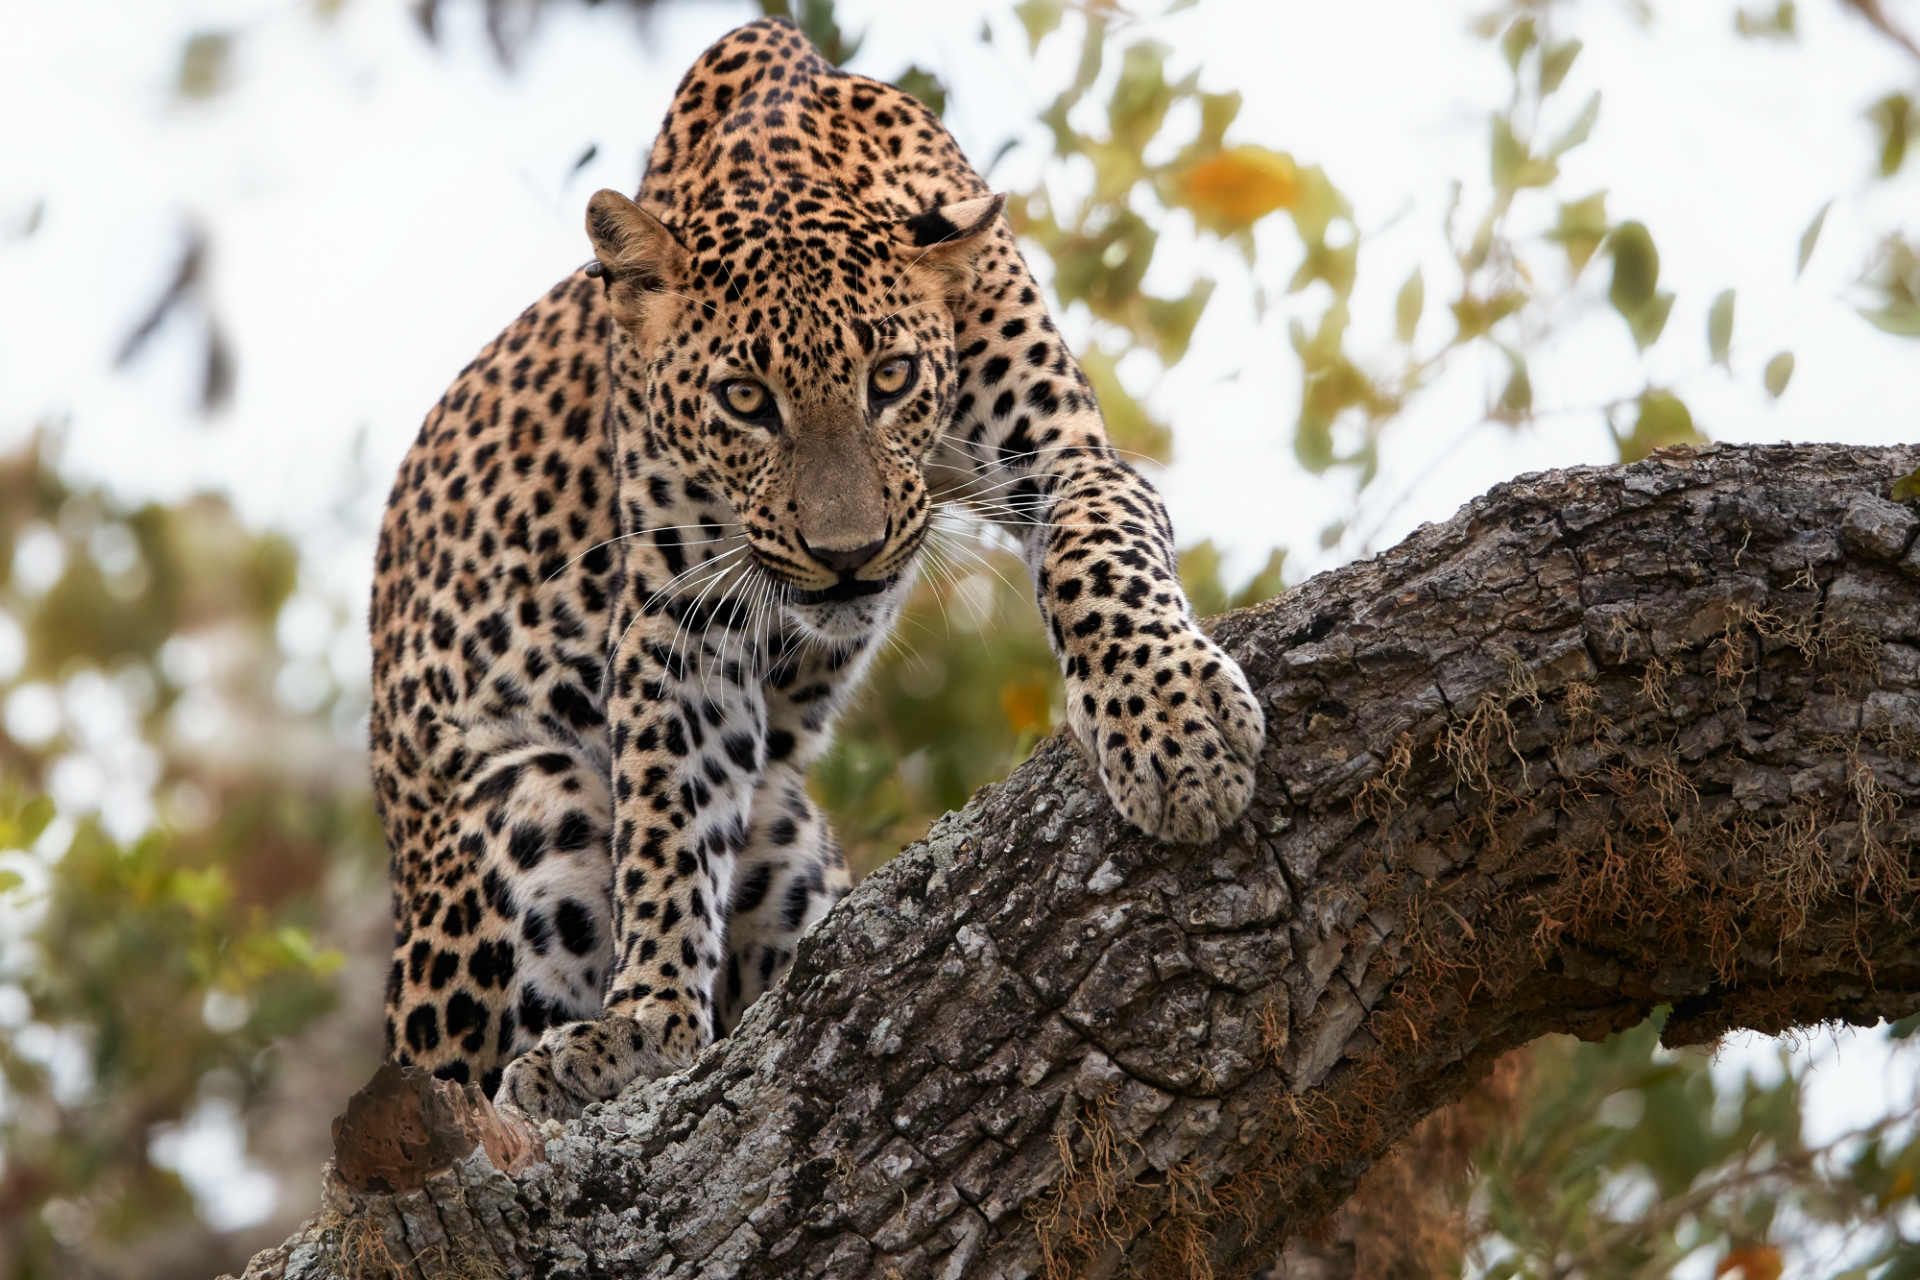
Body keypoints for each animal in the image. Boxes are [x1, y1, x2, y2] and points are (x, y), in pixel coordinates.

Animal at [370, 17, 1274, 1120]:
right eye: (745, 399)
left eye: (890, 378)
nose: (846, 558)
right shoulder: (680, 607)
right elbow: (667, 816)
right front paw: (644, 1022)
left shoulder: (1066, 457)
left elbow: (1098, 560)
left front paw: (1174, 732)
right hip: (529, 799)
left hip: (790, 843)